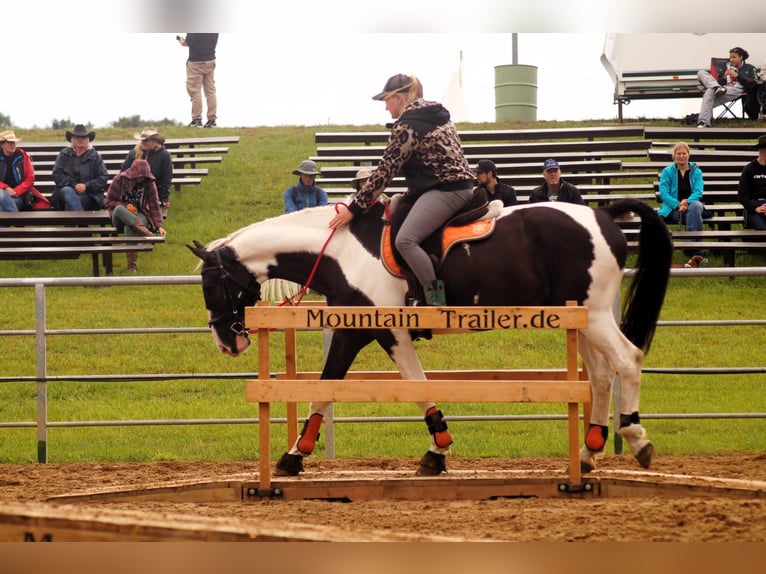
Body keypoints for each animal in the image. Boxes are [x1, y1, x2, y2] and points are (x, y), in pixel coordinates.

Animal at [188, 197, 672, 477]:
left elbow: (408, 386)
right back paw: (588, 453)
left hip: (595, 315)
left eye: (212, 286)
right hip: (581, 319)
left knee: (627, 360)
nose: (226, 343)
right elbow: (328, 389)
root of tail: (602, 214)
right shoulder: (355, 330)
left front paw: (437, 449)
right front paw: (297, 453)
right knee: (601, 376)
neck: (341, 253)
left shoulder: (382, 332)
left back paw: (637, 438)